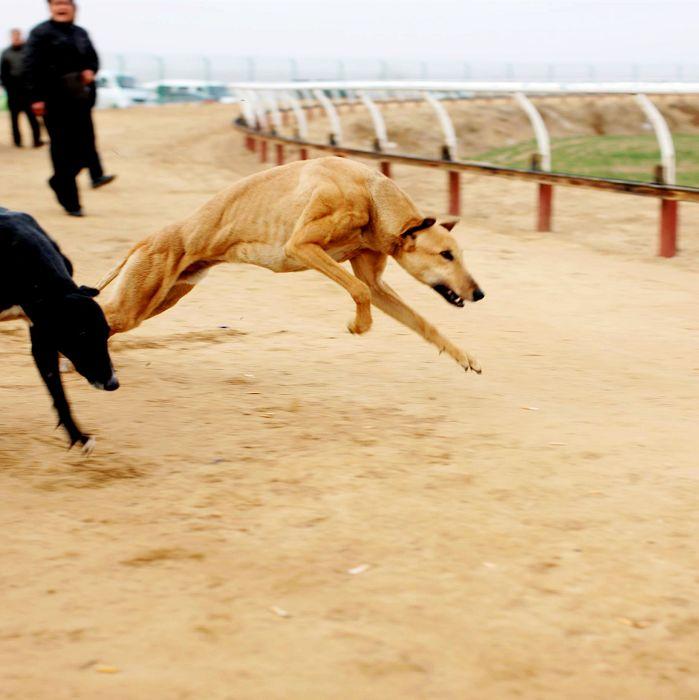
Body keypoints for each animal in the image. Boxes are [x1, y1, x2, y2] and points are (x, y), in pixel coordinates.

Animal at [0, 206, 118, 454]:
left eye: (106, 333)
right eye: (81, 335)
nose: (113, 383)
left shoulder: (43, 338)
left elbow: (58, 392)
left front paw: (79, 436)